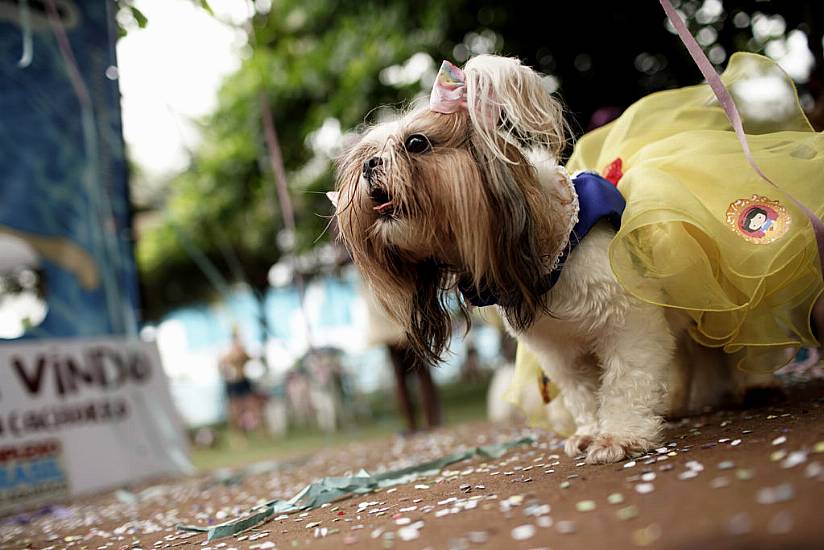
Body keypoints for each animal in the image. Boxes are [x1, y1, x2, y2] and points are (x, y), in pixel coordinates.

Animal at [326, 56, 780, 464]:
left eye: (416, 143)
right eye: (366, 154)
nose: (369, 166)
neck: (556, 244)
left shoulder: (628, 324)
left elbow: (625, 382)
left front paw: (618, 436)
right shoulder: (561, 353)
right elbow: (584, 393)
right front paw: (591, 431)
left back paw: (752, 384)